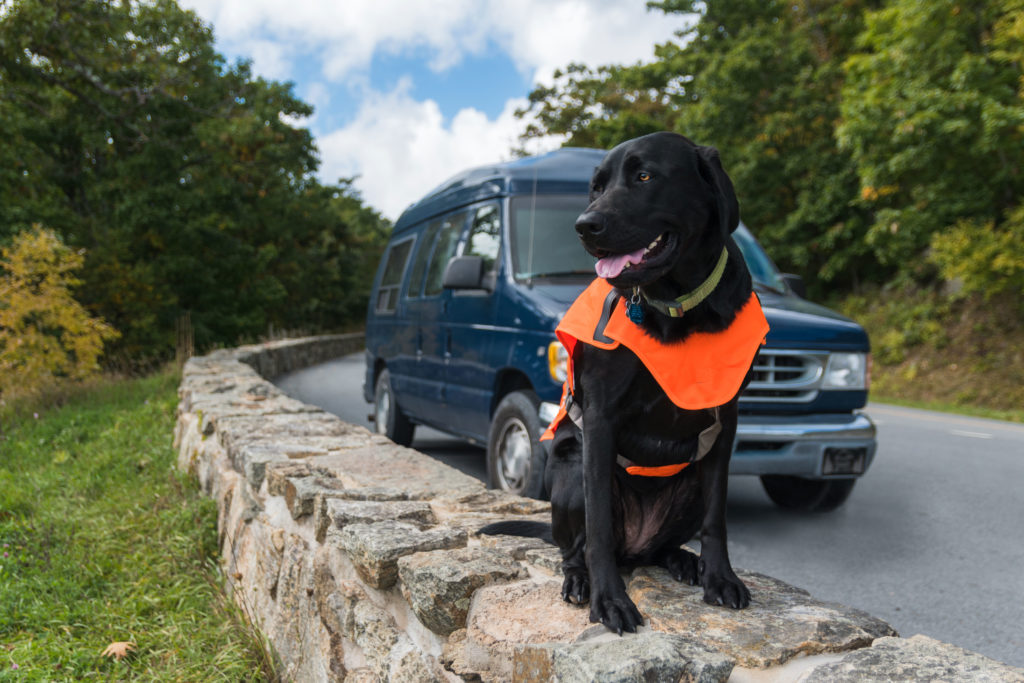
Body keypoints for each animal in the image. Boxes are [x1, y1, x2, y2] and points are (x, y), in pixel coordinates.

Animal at [479, 131, 761, 634]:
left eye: (644, 176)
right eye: (596, 187)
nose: (584, 226)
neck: (676, 308)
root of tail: (638, 545)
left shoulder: (725, 421)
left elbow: (717, 518)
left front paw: (721, 578)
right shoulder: (600, 419)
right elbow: (598, 533)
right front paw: (609, 600)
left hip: (688, 482)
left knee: (661, 546)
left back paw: (684, 560)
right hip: (570, 470)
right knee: (576, 548)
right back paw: (580, 580)